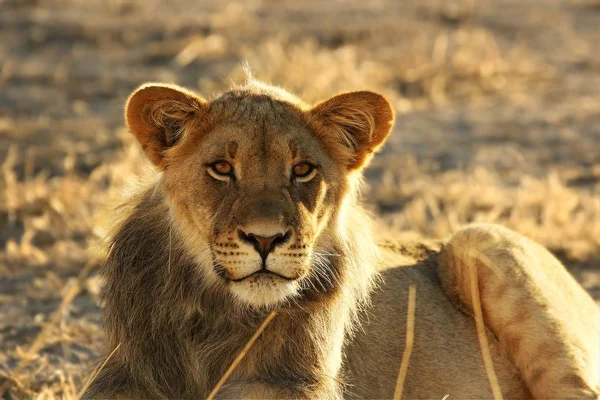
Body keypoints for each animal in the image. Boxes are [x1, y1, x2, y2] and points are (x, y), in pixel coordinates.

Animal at [85, 79, 600, 398]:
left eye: (302, 170)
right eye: (221, 168)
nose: (265, 240)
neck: (214, 316)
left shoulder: (288, 385)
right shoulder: (124, 378)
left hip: (479, 237)